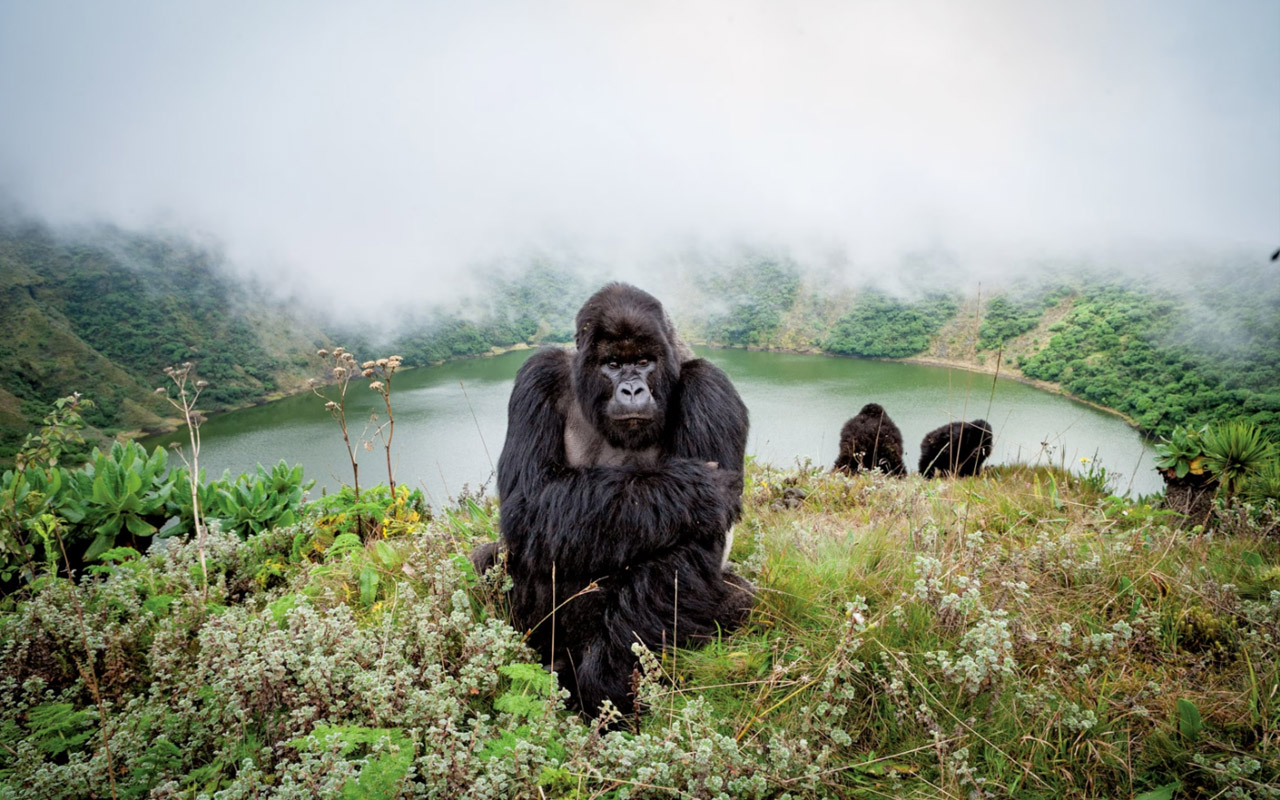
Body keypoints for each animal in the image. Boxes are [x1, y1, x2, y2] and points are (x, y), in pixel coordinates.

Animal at [481, 282, 757, 716]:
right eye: (612, 364)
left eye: (643, 361)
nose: (631, 389)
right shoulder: (539, 374)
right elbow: (529, 499)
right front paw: (694, 489)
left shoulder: (711, 389)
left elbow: (688, 553)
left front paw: (605, 685)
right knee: (489, 560)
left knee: (740, 598)